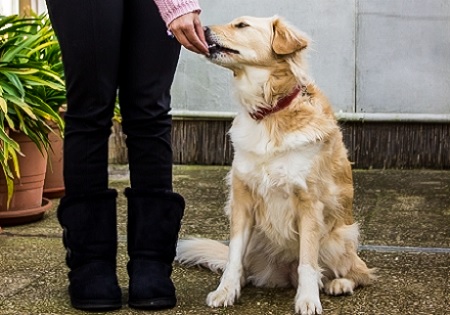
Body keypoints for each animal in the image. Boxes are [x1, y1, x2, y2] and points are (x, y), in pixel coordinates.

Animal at [176, 16, 376, 314]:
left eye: (242, 25)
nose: (203, 28)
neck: (269, 112)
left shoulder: (310, 204)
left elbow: (308, 263)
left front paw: (308, 300)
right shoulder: (242, 200)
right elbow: (233, 258)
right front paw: (225, 291)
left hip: (340, 236)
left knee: (358, 273)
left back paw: (339, 283)